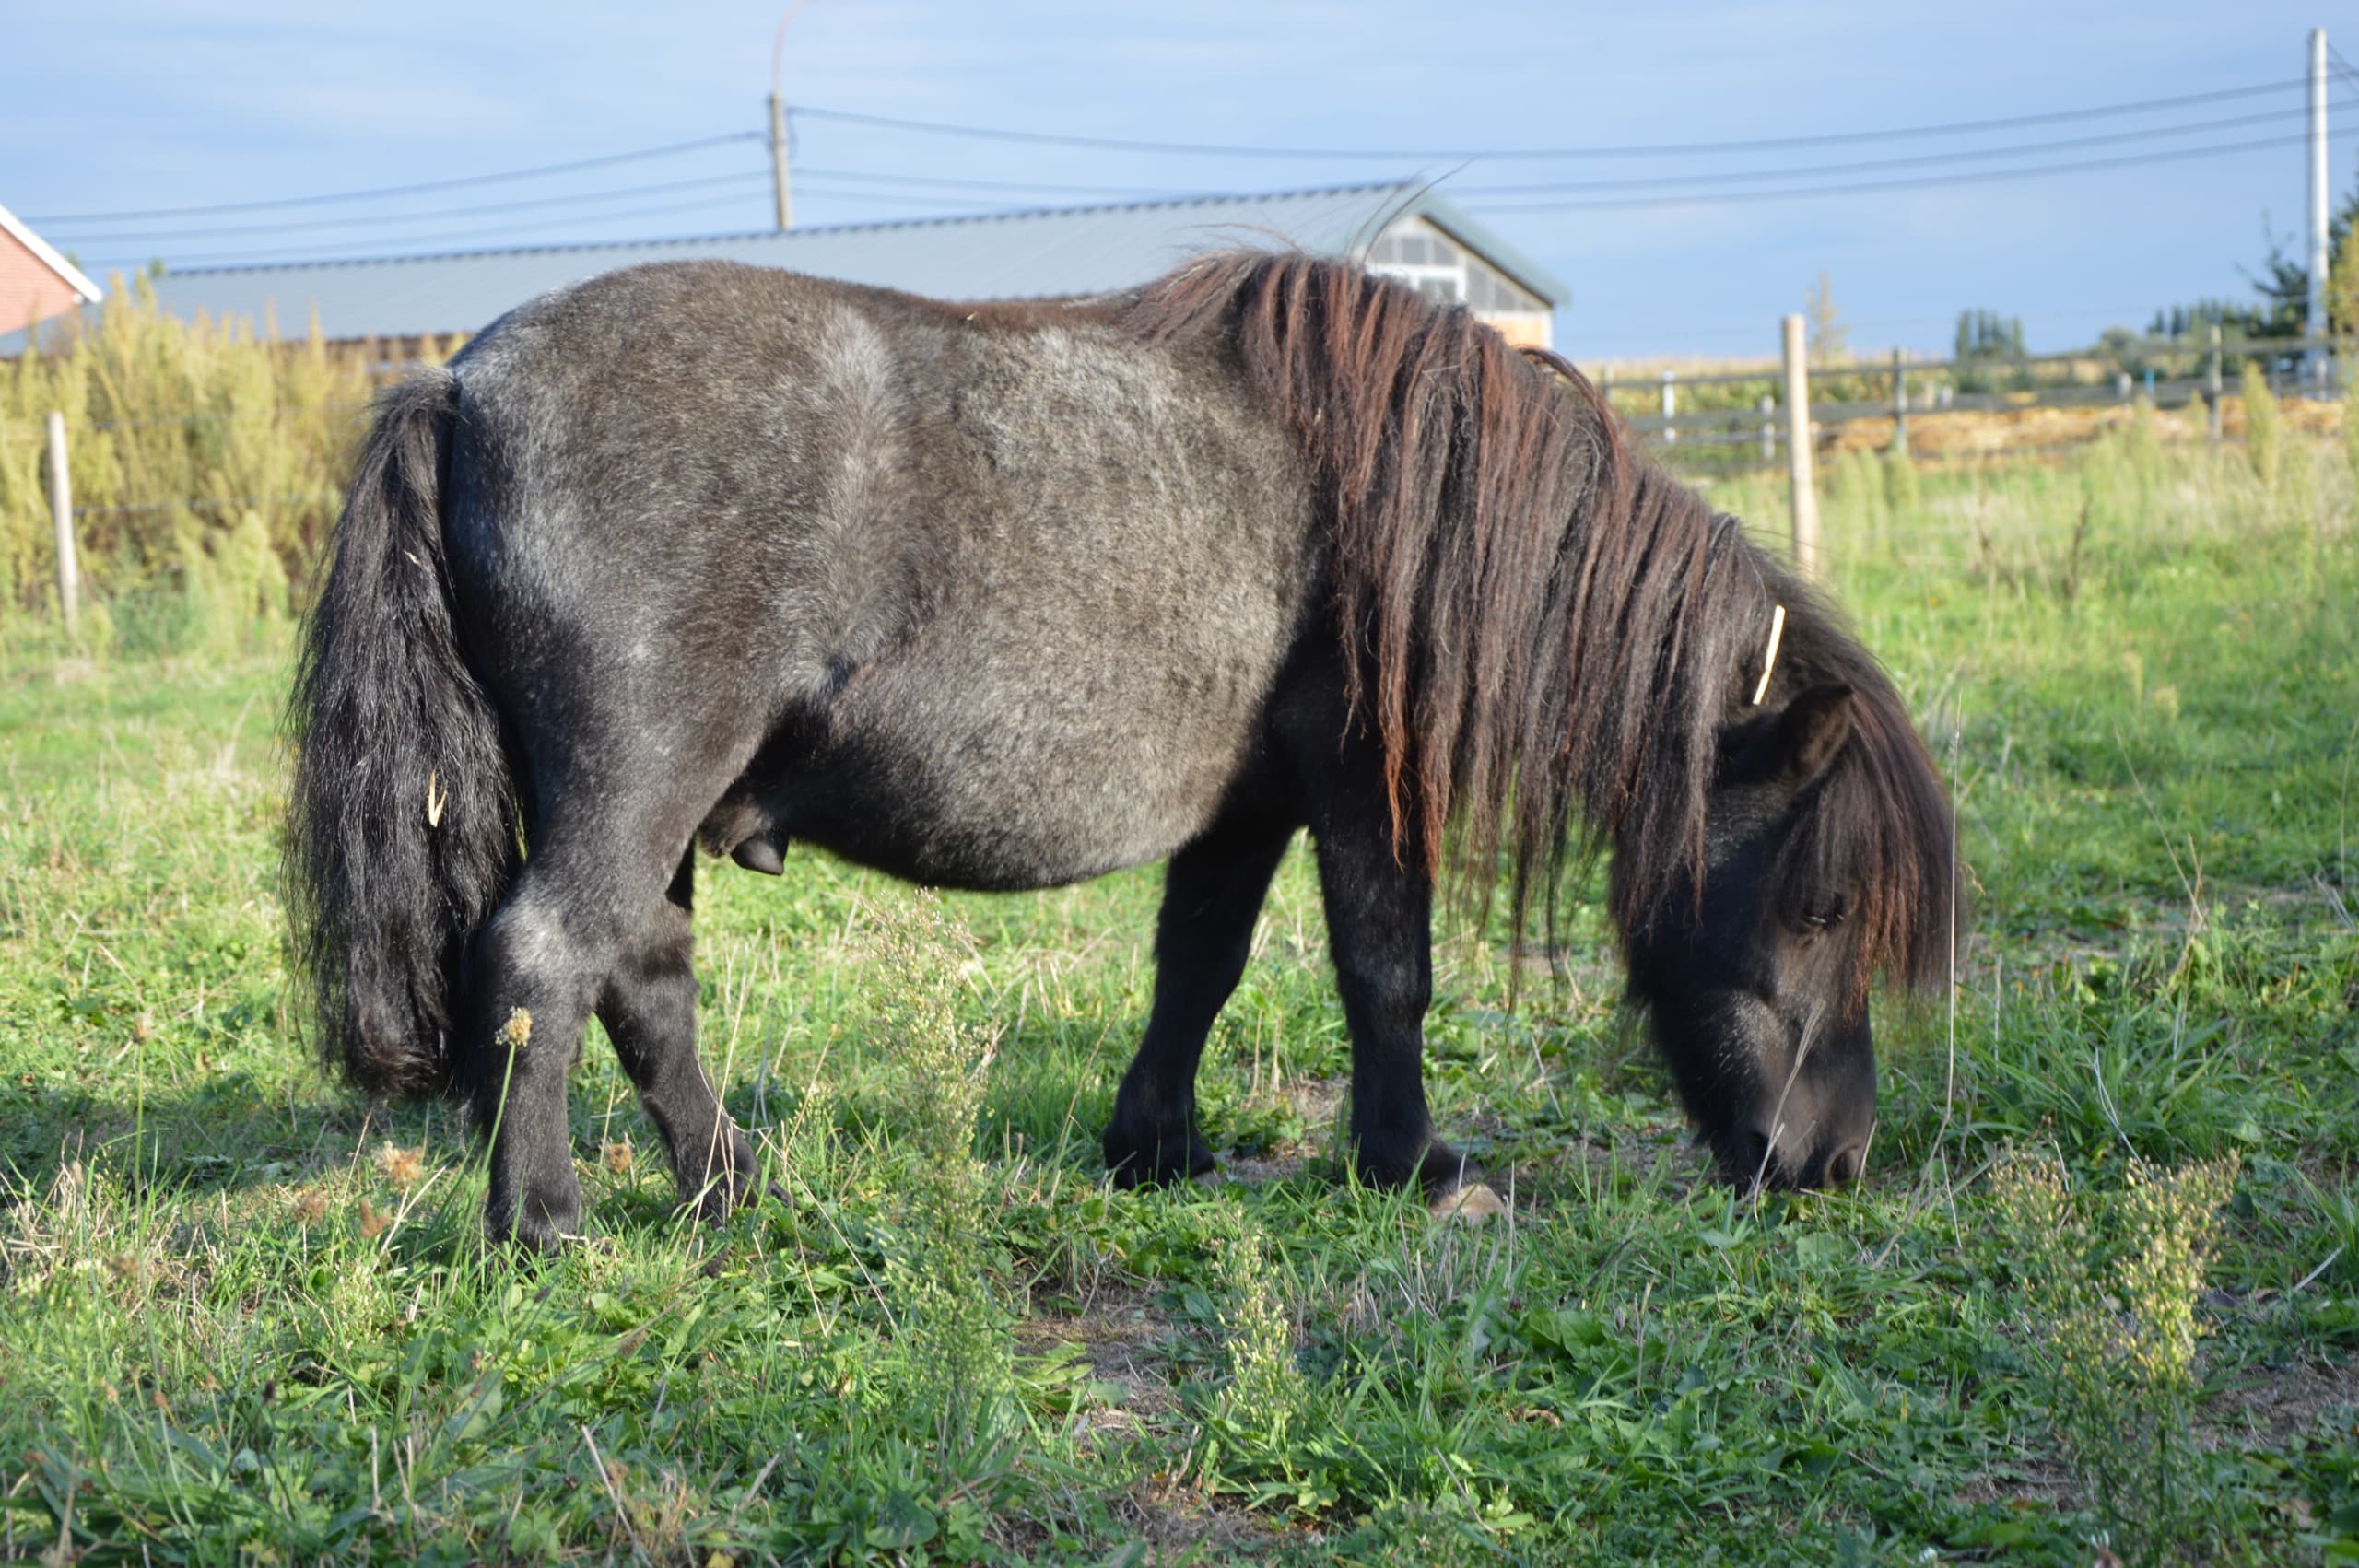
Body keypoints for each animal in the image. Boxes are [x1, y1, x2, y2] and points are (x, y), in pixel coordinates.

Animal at [286, 250, 1955, 1250]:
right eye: (1816, 907)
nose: (1835, 1159)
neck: (1410, 496)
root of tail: (462, 379)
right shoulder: (1358, 786)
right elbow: (1387, 972)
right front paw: (1410, 1160)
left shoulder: (1250, 801)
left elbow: (1196, 963)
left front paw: (1156, 1141)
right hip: (635, 787)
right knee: (544, 962)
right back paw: (546, 1219)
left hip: (665, 808)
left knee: (640, 983)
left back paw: (731, 1186)